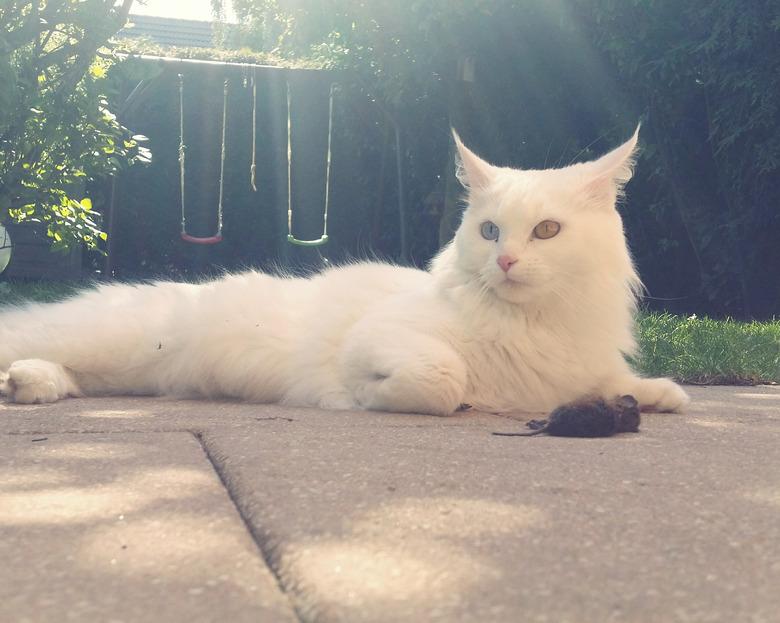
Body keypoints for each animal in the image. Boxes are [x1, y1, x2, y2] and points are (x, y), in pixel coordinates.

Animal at [0, 130, 684, 414]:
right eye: (490, 231)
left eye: (546, 231)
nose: (506, 260)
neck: (537, 322)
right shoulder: (381, 342)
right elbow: (441, 381)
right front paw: (372, 399)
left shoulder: (577, 368)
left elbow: (619, 384)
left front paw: (651, 394)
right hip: (109, 339)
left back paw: (32, 385)